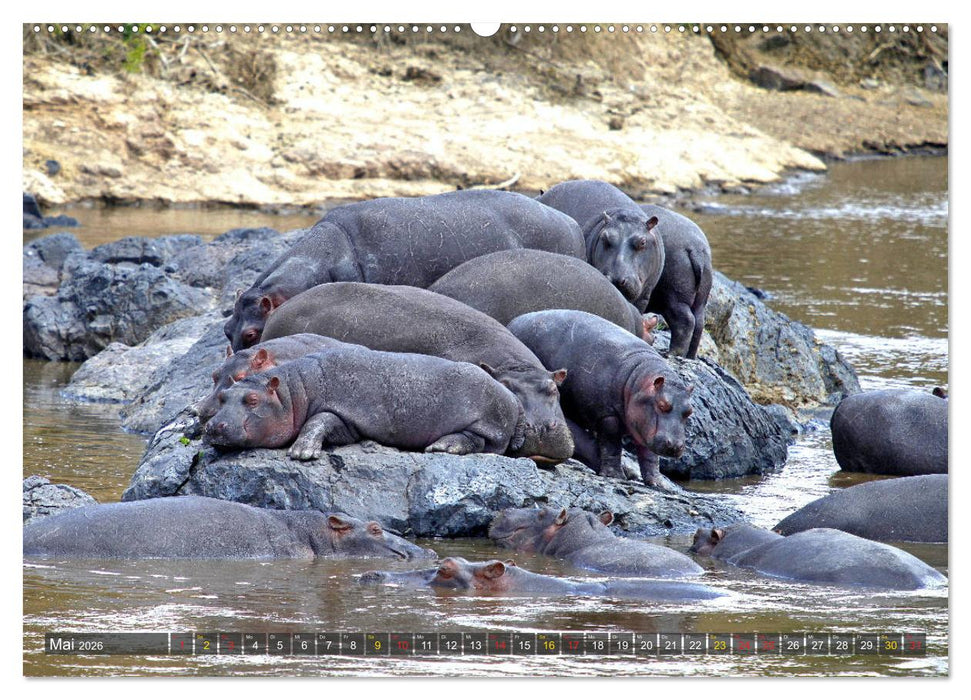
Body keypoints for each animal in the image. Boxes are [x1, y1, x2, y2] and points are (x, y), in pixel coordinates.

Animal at [205, 346, 525, 459]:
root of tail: (511, 396)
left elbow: (318, 420)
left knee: (478, 441)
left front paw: (302, 453)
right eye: (222, 396)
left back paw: (442, 446)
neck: (293, 392)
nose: (213, 426)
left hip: (487, 422)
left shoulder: (345, 414)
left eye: (252, 399)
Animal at [507, 310, 693, 487]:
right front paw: (615, 475)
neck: (638, 381)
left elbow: (650, 456)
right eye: (662, 405)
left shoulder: (645, 429)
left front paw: (660, 484)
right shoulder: (607, 415)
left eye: (689, 411)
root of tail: (515, 320)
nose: (675, 445)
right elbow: (612, 445)